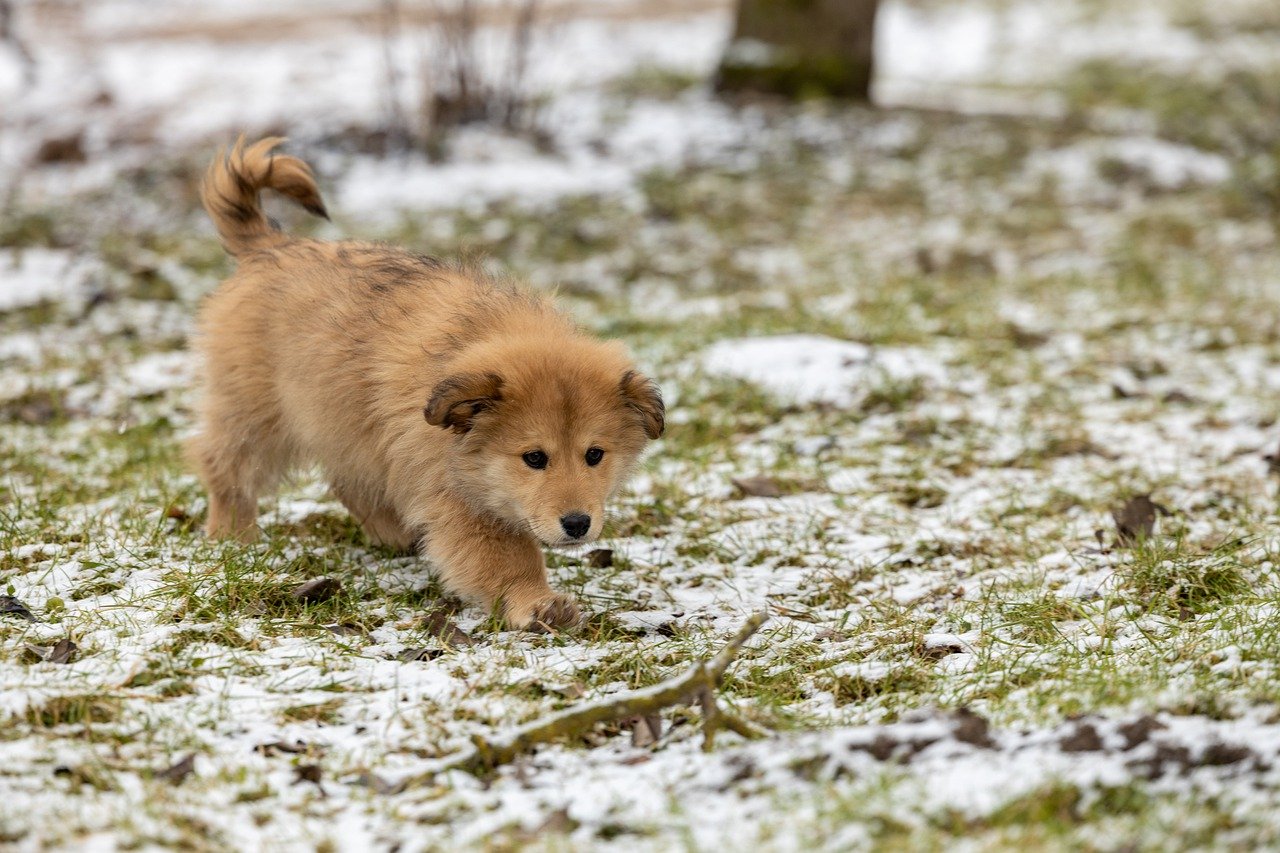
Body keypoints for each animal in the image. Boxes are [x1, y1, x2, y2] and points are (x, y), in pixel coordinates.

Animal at [192, 133, 670, 625]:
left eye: (595, 455)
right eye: (534, 458)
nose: (577, 524)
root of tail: (270, 246)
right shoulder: (456, 497)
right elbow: (508, 556)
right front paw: (536, 601)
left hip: (348, 424)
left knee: (350, 481)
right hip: (256, 413)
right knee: (224, 463)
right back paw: (233, 533)